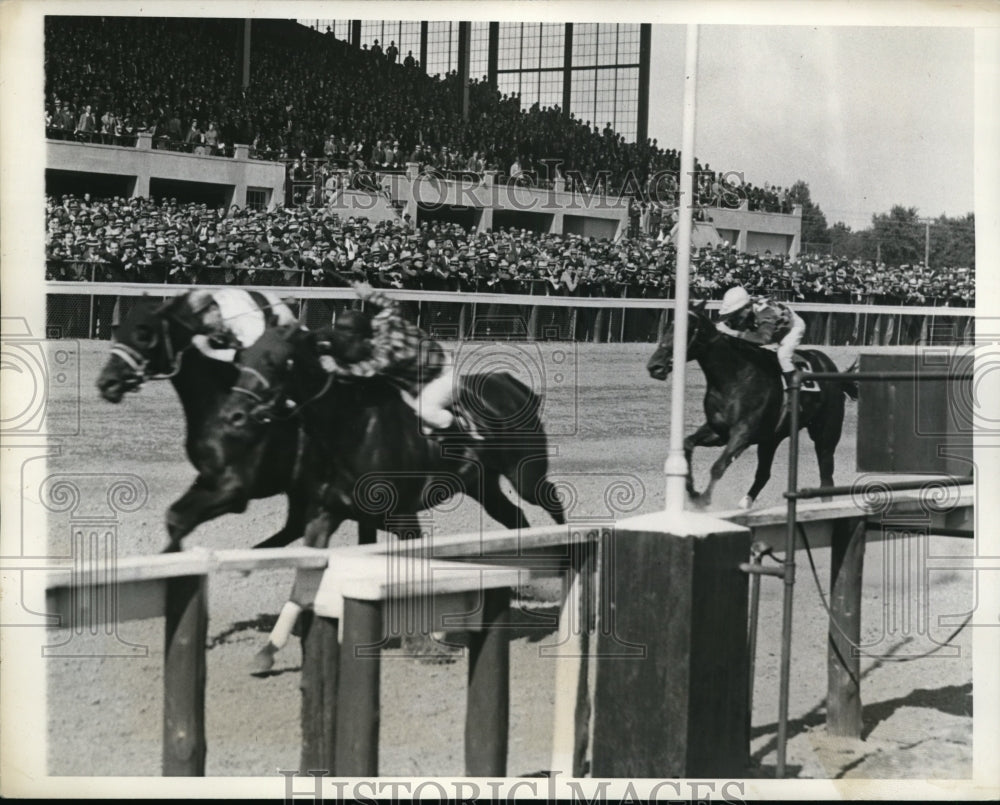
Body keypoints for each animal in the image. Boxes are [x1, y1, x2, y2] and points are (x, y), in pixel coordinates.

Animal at [98, 290, 310, 552]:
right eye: (119, 331)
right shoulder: (207, 479)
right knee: (295, 527)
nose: (107, 383)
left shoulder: (236, 490)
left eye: (144, 333)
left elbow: (181, 518)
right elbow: (174, 516)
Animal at [222, 324, 568, 668]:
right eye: (241, 357)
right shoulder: (325, 515)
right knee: (514, 516)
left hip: (525, 474)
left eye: (275, 362)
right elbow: (302, 582)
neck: (351, 428)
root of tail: (513, 384)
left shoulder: (402, 517)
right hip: (482, 486)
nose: (234, 414)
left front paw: (423, 644)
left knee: (551, 500)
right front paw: (267, 651)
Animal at [648, 302, 860, 508]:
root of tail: (832, 369)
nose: (654, 366)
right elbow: (688, 444)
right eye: (667, 328)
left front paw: (704, 499)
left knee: (826, 477)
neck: (734, 377)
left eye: (686, 330)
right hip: (771, 439)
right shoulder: (719, 431)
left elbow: (718, 466)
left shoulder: (743, 433)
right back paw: (745, 503)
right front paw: (692, 490)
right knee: (764, 474)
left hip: (826, 434)